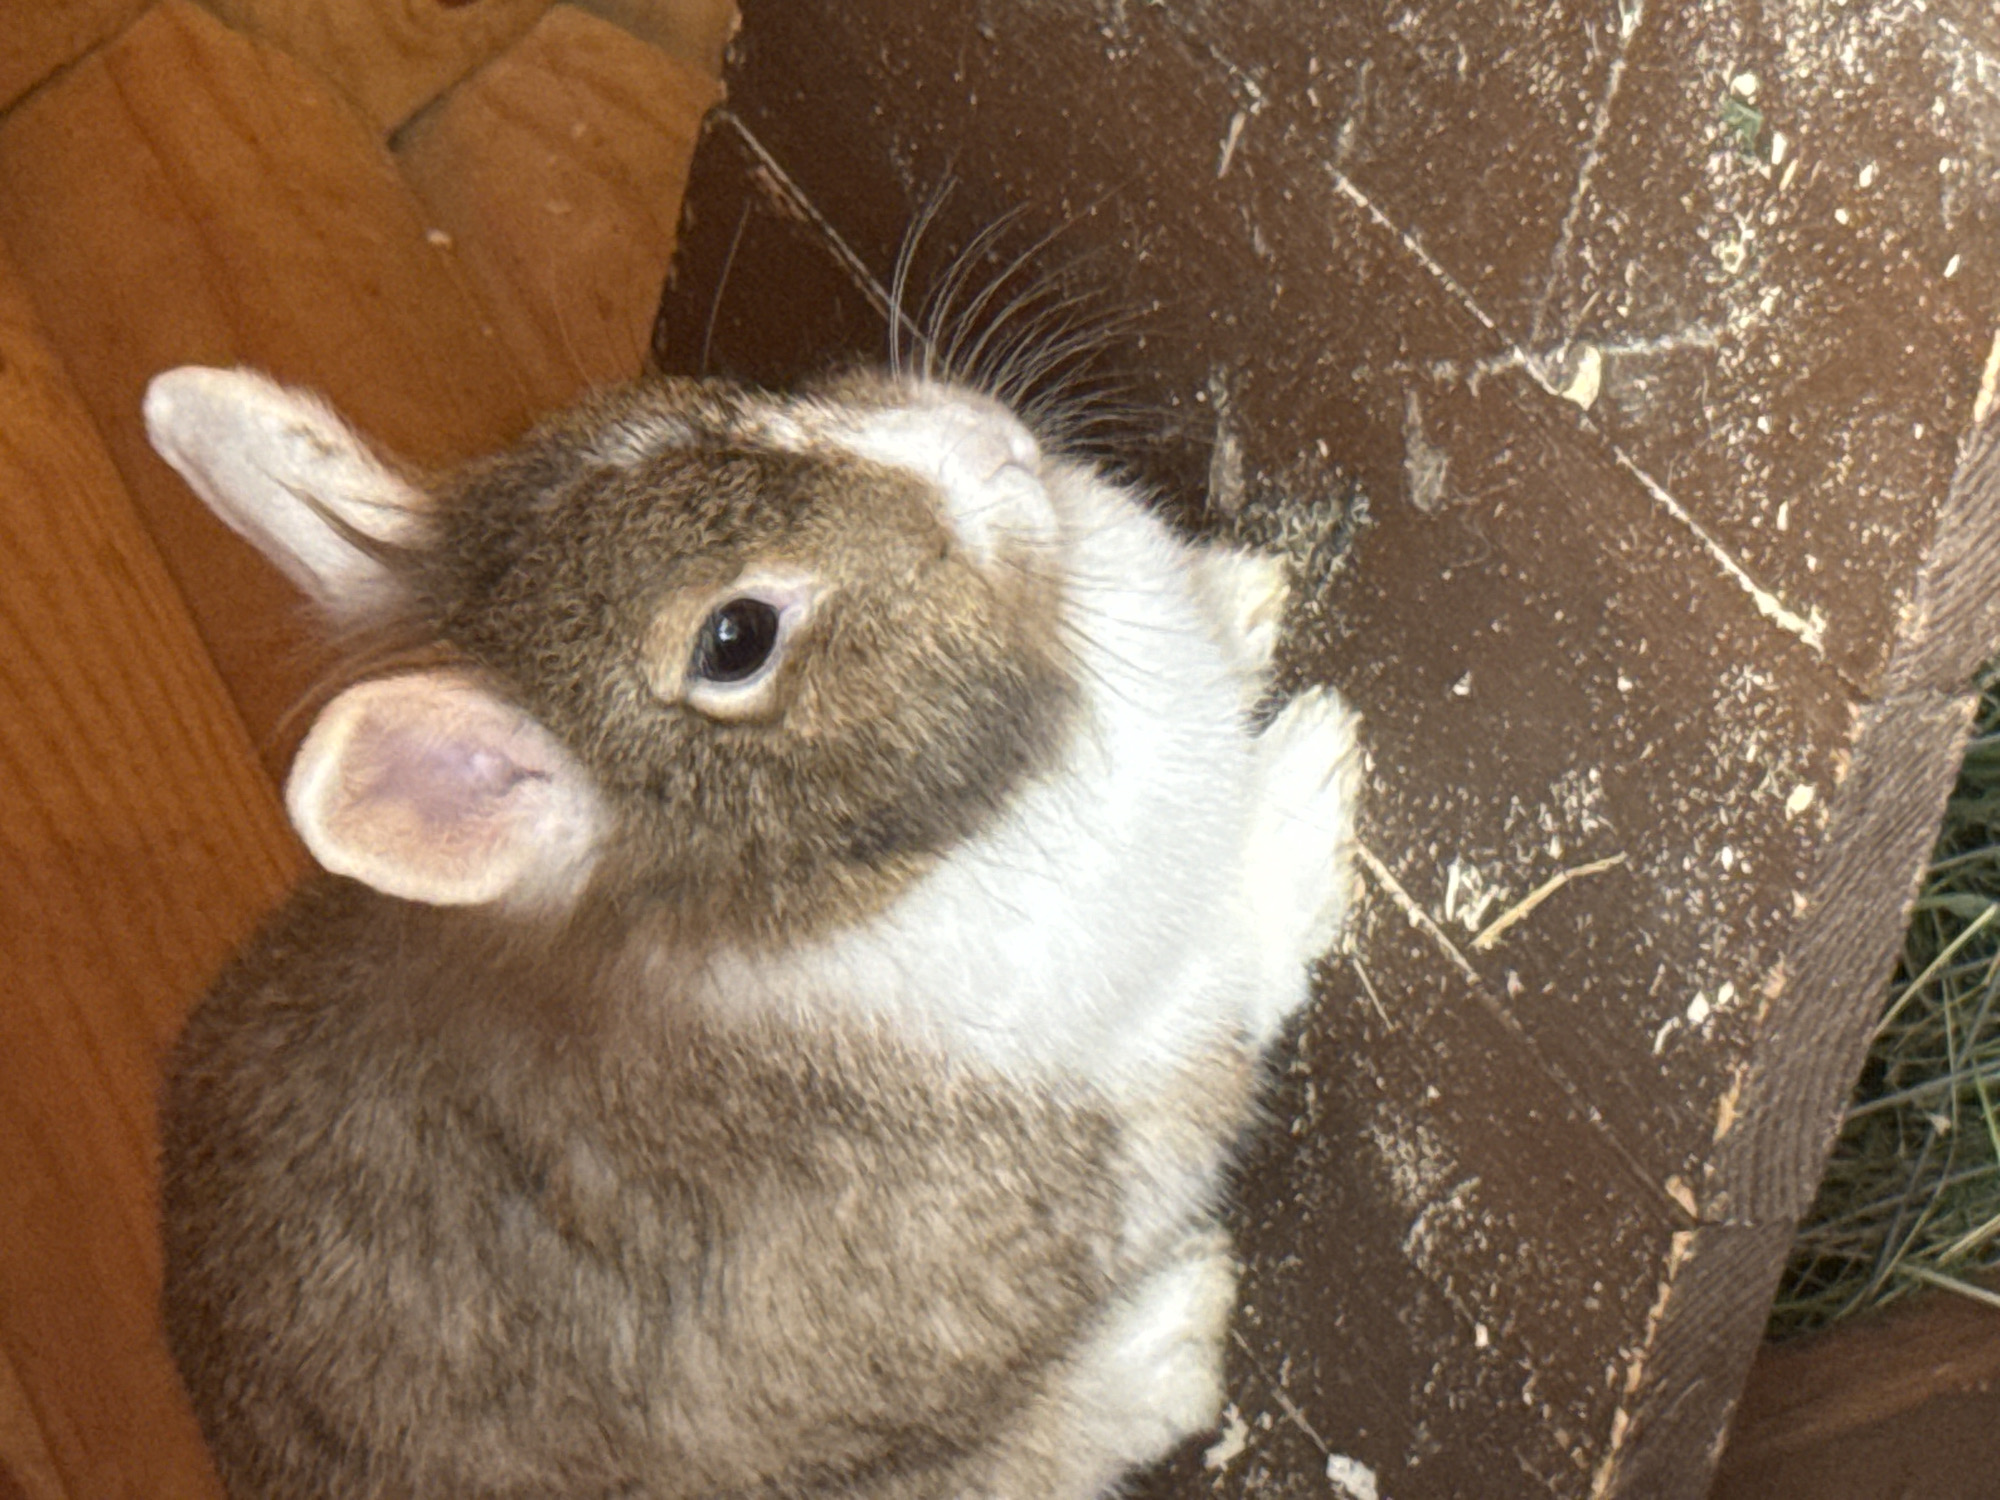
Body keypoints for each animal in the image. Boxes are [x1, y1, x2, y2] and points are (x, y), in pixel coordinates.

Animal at [148, 362, 1362, 1499]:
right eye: (736, 639)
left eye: (718, 408)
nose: (990, 448)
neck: (812, 870)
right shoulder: (1142, 1058)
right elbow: (1240, 968)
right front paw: (1314, 770)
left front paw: (1241, 596)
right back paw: (1175, 1334)